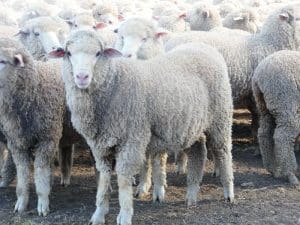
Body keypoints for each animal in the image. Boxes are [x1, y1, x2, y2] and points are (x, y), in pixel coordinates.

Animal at [51, 28, 234, 225]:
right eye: (68, 53)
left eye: (98, 53)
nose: (82, 77)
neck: (113, 84)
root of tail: (204, 46)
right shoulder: (100, 146)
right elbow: (104, 179)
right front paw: (99, 214)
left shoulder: (131, 140)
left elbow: (123, 179)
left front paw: (124, 215)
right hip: (192, 126)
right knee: (198, 152)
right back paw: (191, 195)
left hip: (220, 118)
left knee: (223, 152)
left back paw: (228, 192)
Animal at [253, 50, 300, 185]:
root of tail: (259, 75)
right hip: (285, 101)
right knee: (282, 137)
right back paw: (290, 174)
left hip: (265, 106)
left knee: (264, 134)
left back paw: (273, 169)